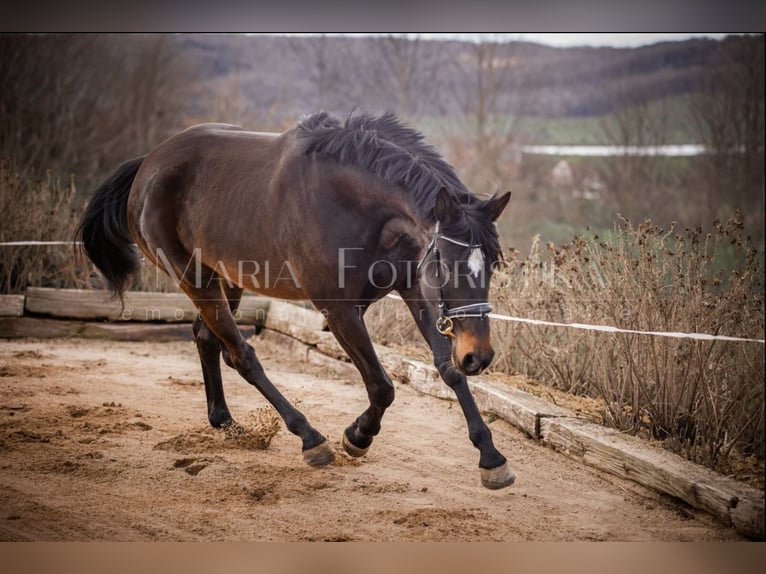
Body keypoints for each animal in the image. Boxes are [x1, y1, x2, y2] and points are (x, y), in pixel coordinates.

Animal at [78, 112, 516, 490]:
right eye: (446, 262)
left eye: (493, 263)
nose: (479, 356)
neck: (357, 206)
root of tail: (149, 164)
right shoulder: (339, 311)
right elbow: (381, 386)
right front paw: (357, 436)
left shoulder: (412, 288)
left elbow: (448, 370)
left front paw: (491, 458)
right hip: (195, 278)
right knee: (242, 355)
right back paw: (310, 438)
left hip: (226, 277)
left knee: (206, 338)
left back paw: (226, 423)